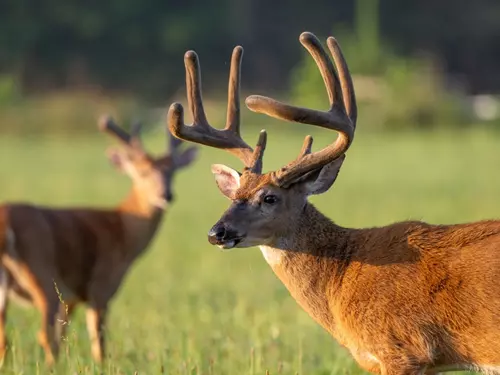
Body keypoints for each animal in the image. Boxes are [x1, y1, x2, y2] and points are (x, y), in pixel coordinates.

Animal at [0, 117, 197, 364]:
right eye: (142, 172)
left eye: (172, 171)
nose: (166, 195)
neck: (122, 229)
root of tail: (5, 222)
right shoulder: (101, 286)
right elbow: (99, 342)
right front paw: (100, 366)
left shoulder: (71, 297)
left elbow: (64, 337)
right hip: (41, 271)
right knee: (44, 335)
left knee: (6, 339)